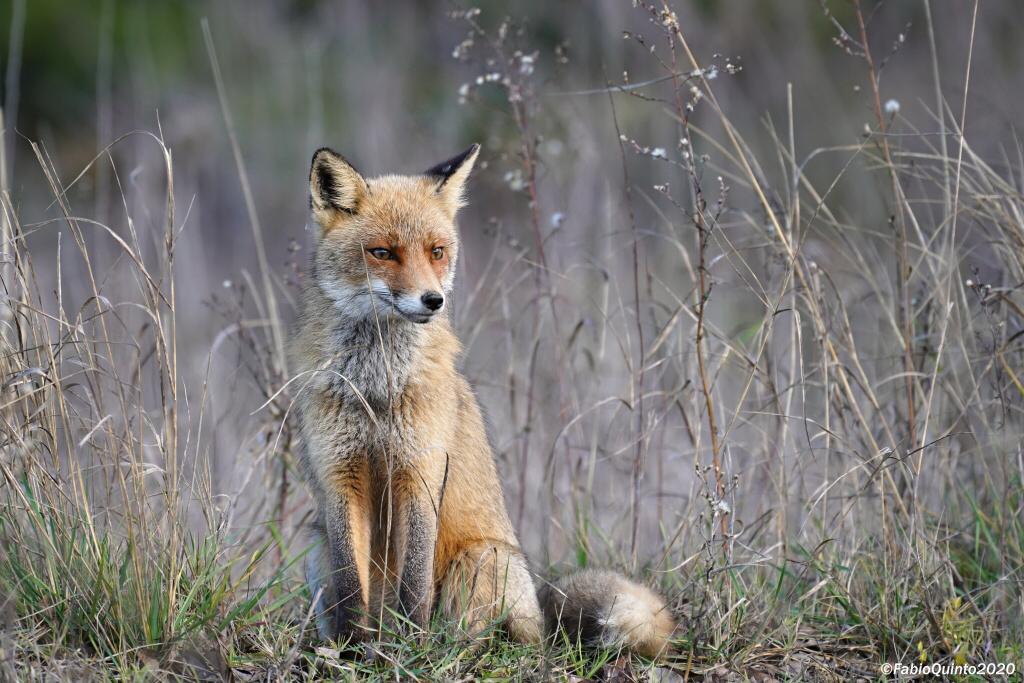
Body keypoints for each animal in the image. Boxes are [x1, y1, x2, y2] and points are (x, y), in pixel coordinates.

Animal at [290, 143, 671, 655]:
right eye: (382, 253)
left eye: (437, 252)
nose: (432, 300)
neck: (377, 389)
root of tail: (544, 621)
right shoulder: (340, 475)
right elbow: (353, 585)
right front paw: (352, 651)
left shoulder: (422, 469)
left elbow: (414, 583)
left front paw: (410, 647)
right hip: (316, 547)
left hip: (480, 559)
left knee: (495, 639)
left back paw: (446, 646)